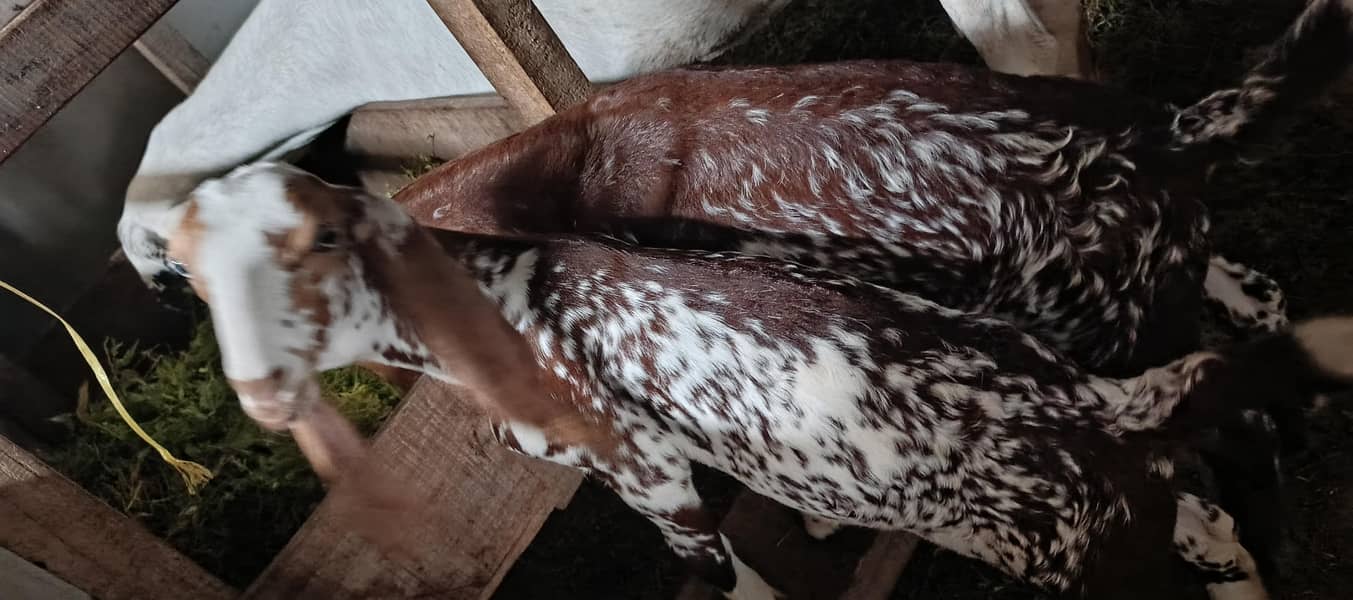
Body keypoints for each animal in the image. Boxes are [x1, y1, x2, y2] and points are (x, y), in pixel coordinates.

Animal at [165, 161, 1353, 600]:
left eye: (319, 241)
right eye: (187, 269)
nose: (259, 390)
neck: (503, 294)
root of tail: (1086, 404)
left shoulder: (651, 483)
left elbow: (726, 575)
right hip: (1116, 506)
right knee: (1213, 525)